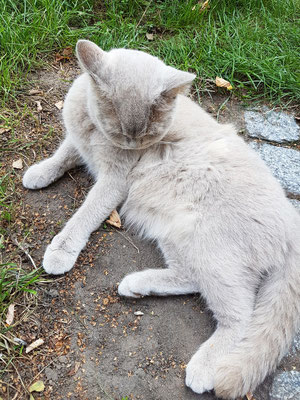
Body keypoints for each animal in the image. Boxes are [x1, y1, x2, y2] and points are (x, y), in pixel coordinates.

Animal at [22, 39, 300, 398]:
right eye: (121, 130)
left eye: (147, 134)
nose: (132, 143)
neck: (93, 131)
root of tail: (292, 226)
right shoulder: (78, 144)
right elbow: (62, 155)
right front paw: (39, 173)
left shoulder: (114, 181)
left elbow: (85, 214)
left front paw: (61, 250)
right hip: (176, 237)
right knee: (191, 279)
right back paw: (136, 285)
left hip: (209, 247)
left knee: (240, 315)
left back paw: (203, 369)